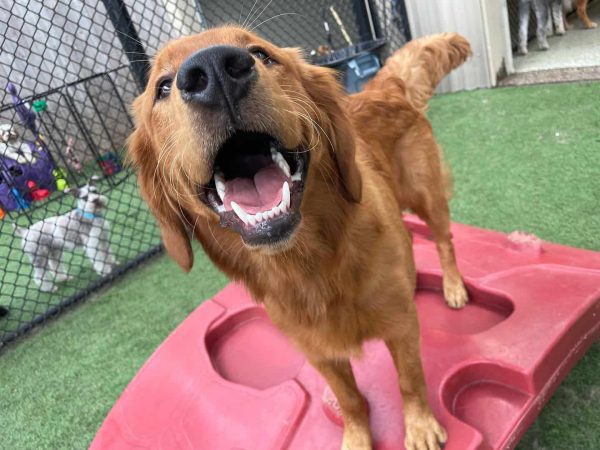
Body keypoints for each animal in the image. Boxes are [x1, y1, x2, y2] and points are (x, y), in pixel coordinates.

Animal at [129, 26, 472, 448]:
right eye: (162, 87)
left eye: (262, 53)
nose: (213, 71)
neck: (309, 264)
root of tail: (383, 88)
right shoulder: (318, 350)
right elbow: (350, 399)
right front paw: (358, 437)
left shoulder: (401, 325)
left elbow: (410, 380)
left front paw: (420, 426)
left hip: (426, 195)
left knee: (444, 240)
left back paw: (453, 286)